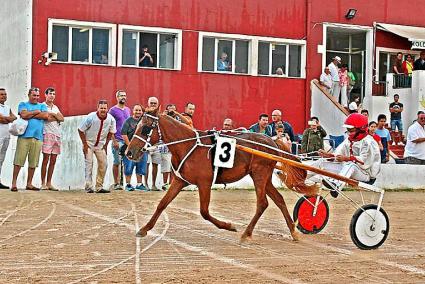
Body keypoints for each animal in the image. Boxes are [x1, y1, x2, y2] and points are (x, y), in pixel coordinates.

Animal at [126, 106, 314, 242]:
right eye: (136, 126)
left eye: (145, 129)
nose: (129, 152)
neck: (188, 145)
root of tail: (272, 141)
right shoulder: (179, 181)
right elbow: (162, 204)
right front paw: (144, 229)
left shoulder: (204, 183)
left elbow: (204, 212)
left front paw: (229, 225)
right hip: (263, 176)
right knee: (279, 200)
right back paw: (293, 232)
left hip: (260, 175)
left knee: (262, 203)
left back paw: (246, 233)